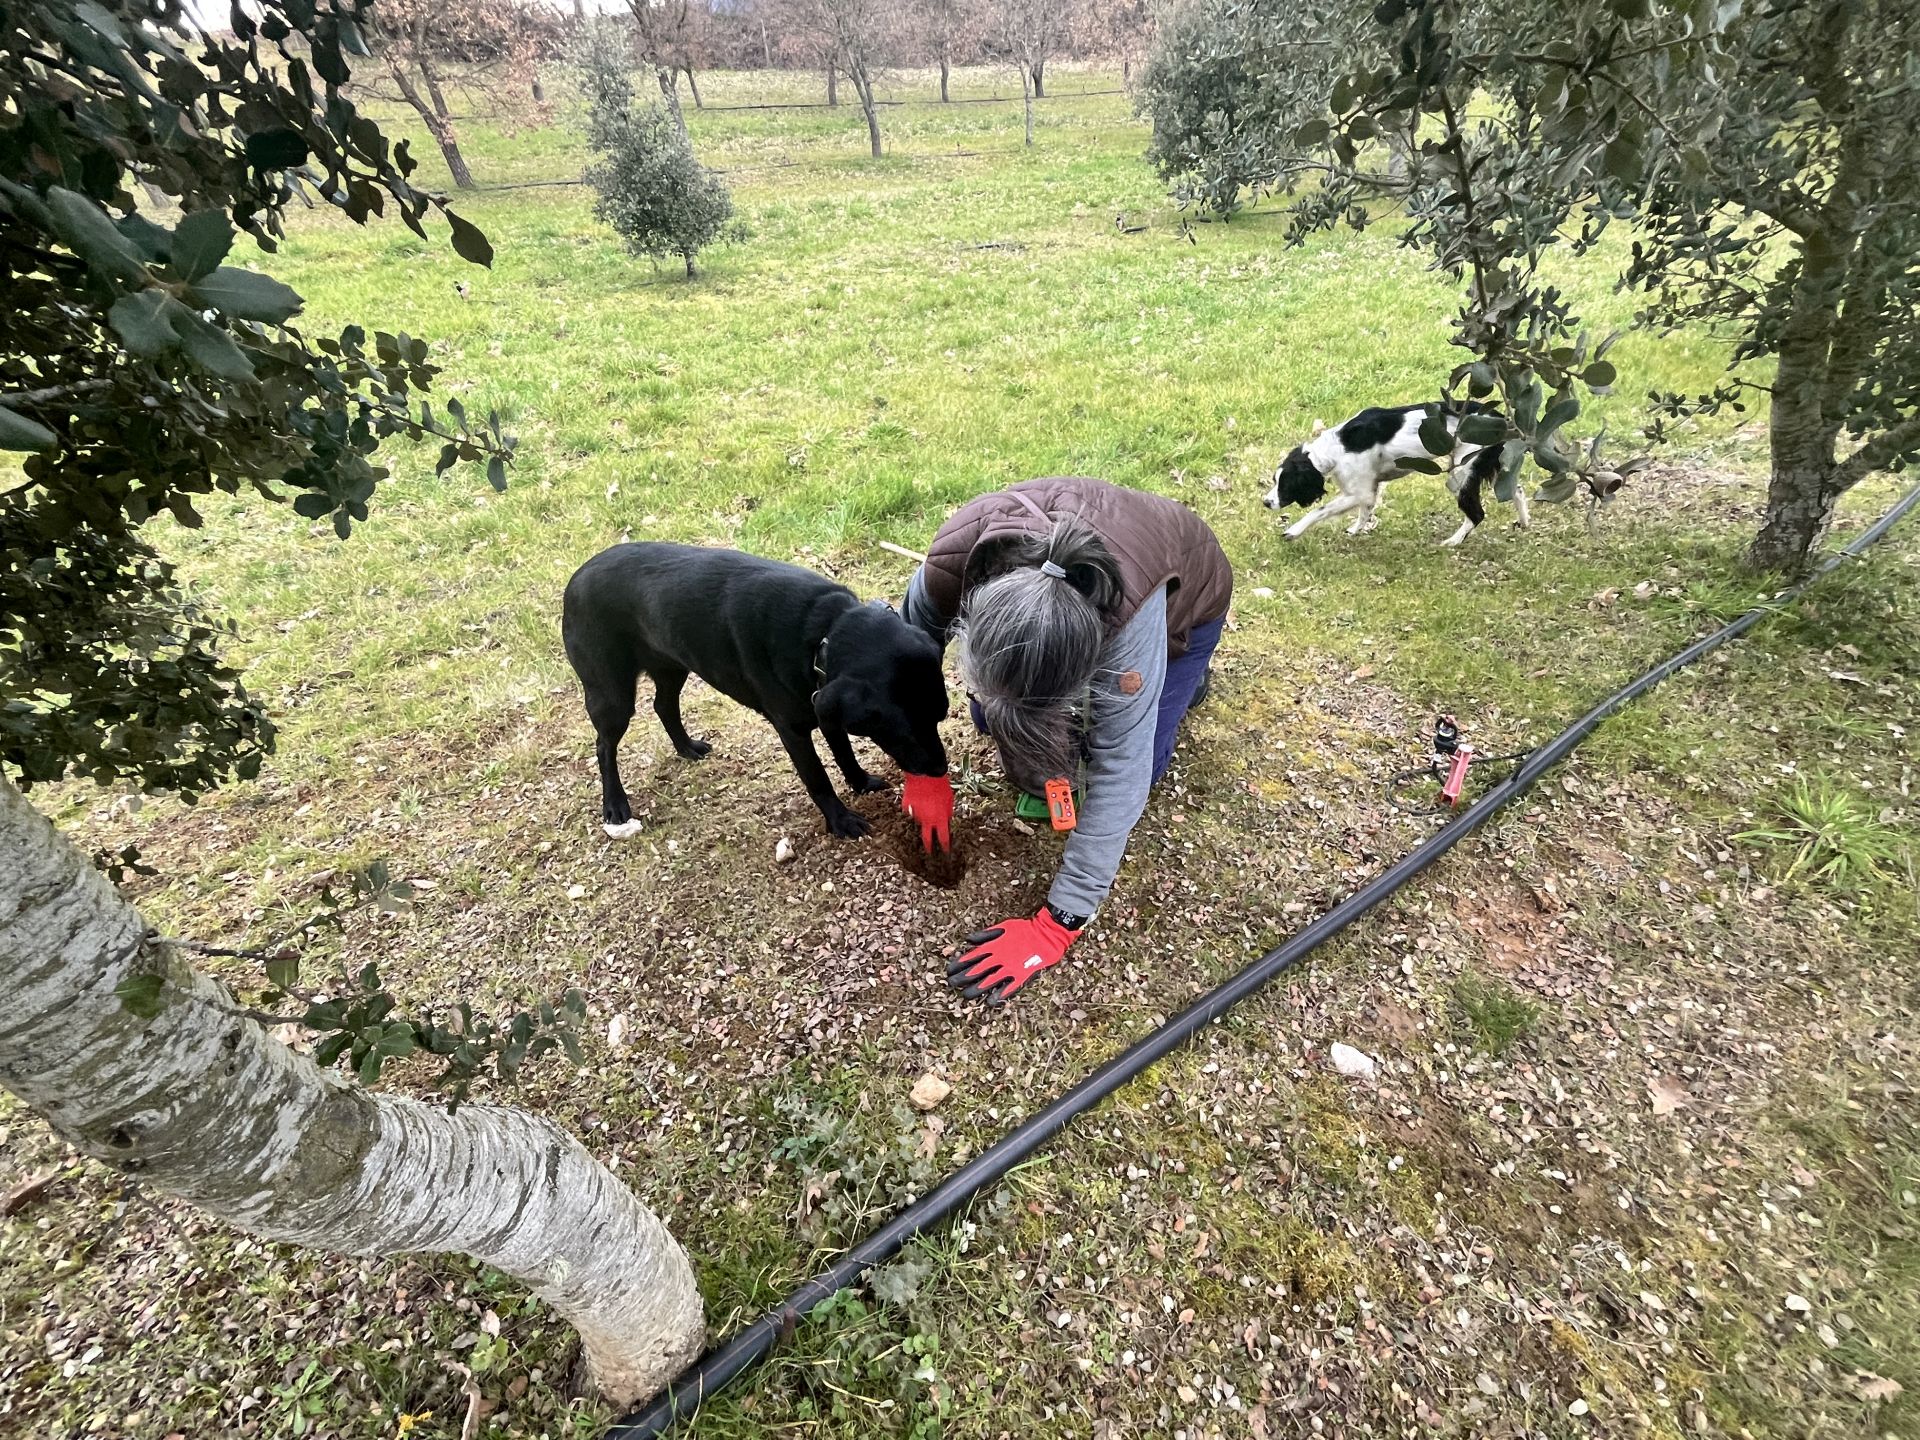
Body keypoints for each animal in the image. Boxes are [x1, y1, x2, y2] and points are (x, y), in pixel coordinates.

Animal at [560, 545, 948, 840]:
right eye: (905, 733)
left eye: (940, 717)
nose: (940, 769)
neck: (823, 633)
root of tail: (574, 579)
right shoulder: (793, 729)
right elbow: (818, 778)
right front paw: (840, 821)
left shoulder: (825, 706)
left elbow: (844, 754)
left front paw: (860, 781)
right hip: (612, 694)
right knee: (604, 745)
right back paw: (615, 804)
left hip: (672, 665)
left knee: (663, 705)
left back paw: (686, 747)